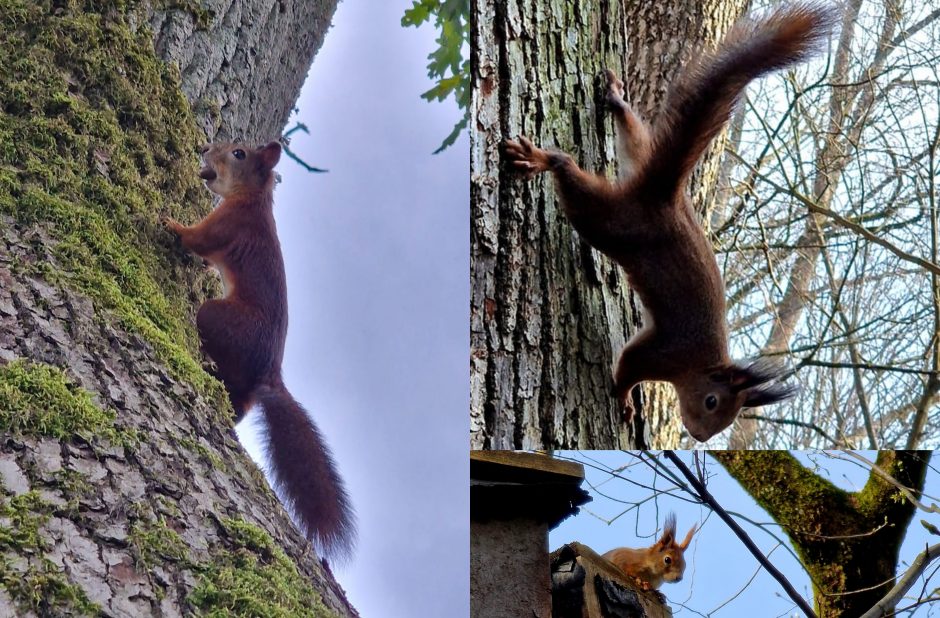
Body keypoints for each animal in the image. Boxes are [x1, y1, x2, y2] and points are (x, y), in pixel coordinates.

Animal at [163, 140, 354, 560]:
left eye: (238, 153)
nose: (205, 147)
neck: (252, 199)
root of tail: (270, 375)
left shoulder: (228, 224)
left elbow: (195, 240)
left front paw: (169, 223)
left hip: (220, 317)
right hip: (243, 390)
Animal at [504, 2, 832, 440]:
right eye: (712, 402)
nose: (700, 436)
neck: (698, 365)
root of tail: (666, 198)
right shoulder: (662, 353)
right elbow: (628, 368)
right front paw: (625, 400)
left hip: (633, 168)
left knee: (635, 137)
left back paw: (616, 99)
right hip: (613, 223)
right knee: (569, 172)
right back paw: (542, 158)